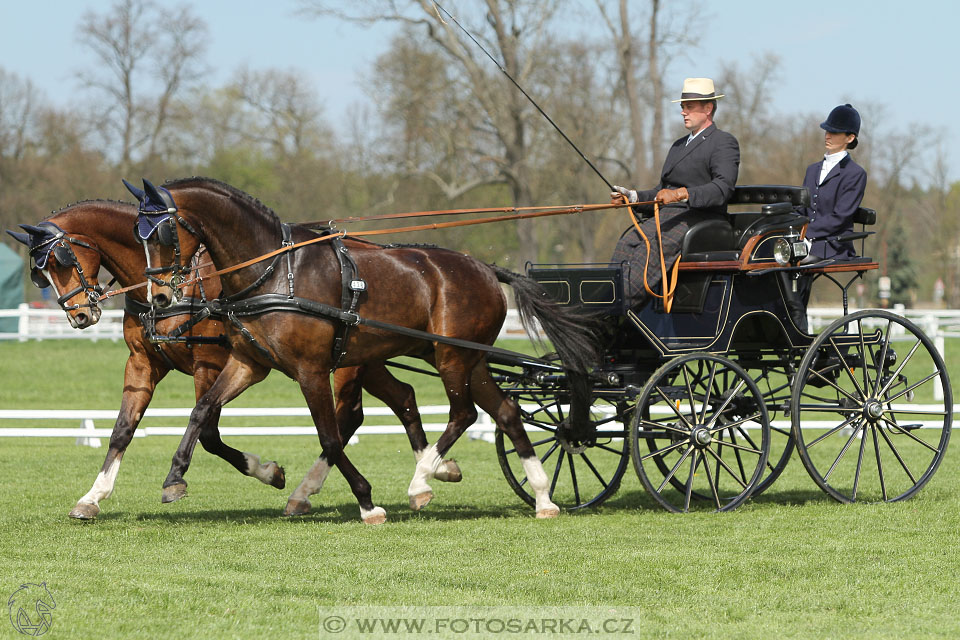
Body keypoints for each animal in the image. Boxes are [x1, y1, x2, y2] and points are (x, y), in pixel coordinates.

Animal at [4, 201, 462, 520]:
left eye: (60, 260)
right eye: (41, 274)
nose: (80, 315)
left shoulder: (208, 362)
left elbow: (206, 429)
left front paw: (265, 471)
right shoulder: (143, 364)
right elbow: (122, 430)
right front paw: (93, 497)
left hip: (347, 362)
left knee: (350, 415)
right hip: (365, 358)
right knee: (401, 397)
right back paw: (431, 473)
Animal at [133, 175, 600, 520]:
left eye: (163, 232)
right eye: (139, 237)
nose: (161, 298)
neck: (276, 272)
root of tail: (486, 268)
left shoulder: (311, 370)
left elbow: (330, 435)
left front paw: (367, 501)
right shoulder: (250, 363)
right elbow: (202, 409)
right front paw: (175, 479)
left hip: (450, 357)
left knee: (464, 413)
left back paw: (422, 479)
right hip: (470, 359)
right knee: (505, 413)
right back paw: (542, 496)